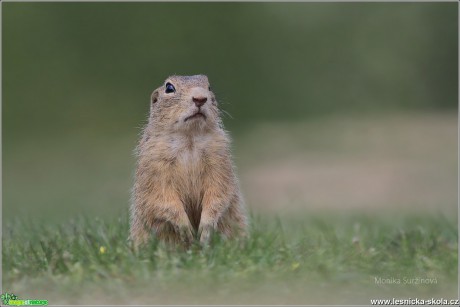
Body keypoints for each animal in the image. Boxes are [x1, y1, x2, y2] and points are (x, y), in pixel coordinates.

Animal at [129, 76, 248, 249]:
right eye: (169, 88)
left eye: (209, 87)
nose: (200, 98)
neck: (189, 138)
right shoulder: (155, 162)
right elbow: (161, 196)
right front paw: (186, 229)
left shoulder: (219, 158)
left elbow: (219, 191)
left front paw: (205, 228)